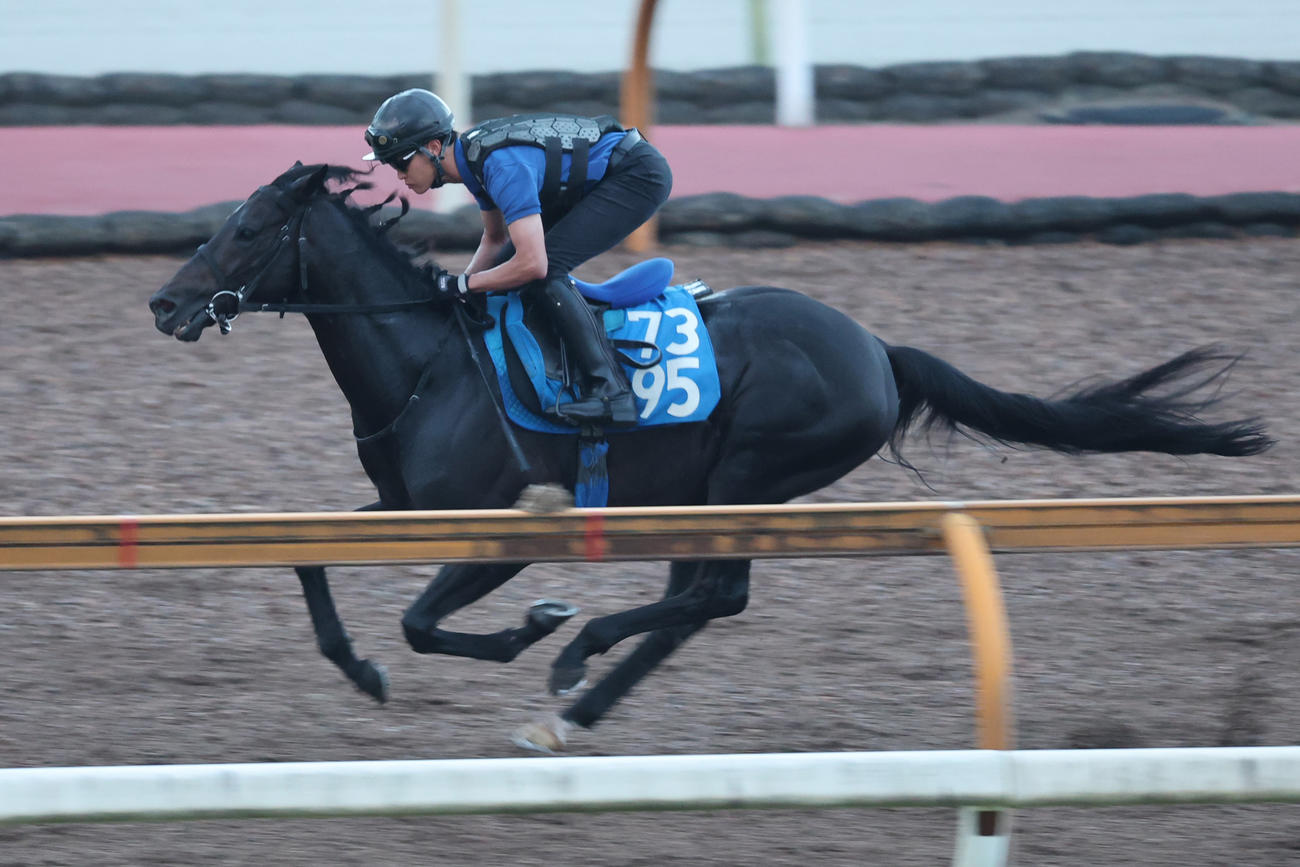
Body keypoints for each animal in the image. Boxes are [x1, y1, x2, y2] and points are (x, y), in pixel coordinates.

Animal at [148, 163, 1271, 750]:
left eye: (248, 228)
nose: (163, 303)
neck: (432, 363)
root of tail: (875, 347)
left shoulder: (512, 527)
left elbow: (427, 622)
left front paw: (533, 627)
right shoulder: (409, 508)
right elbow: (310, 558)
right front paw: (361, 669)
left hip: (749, 474)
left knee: (713, 595)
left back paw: (576, 657)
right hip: (703, 490)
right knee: (696, 601)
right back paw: (580, 702)